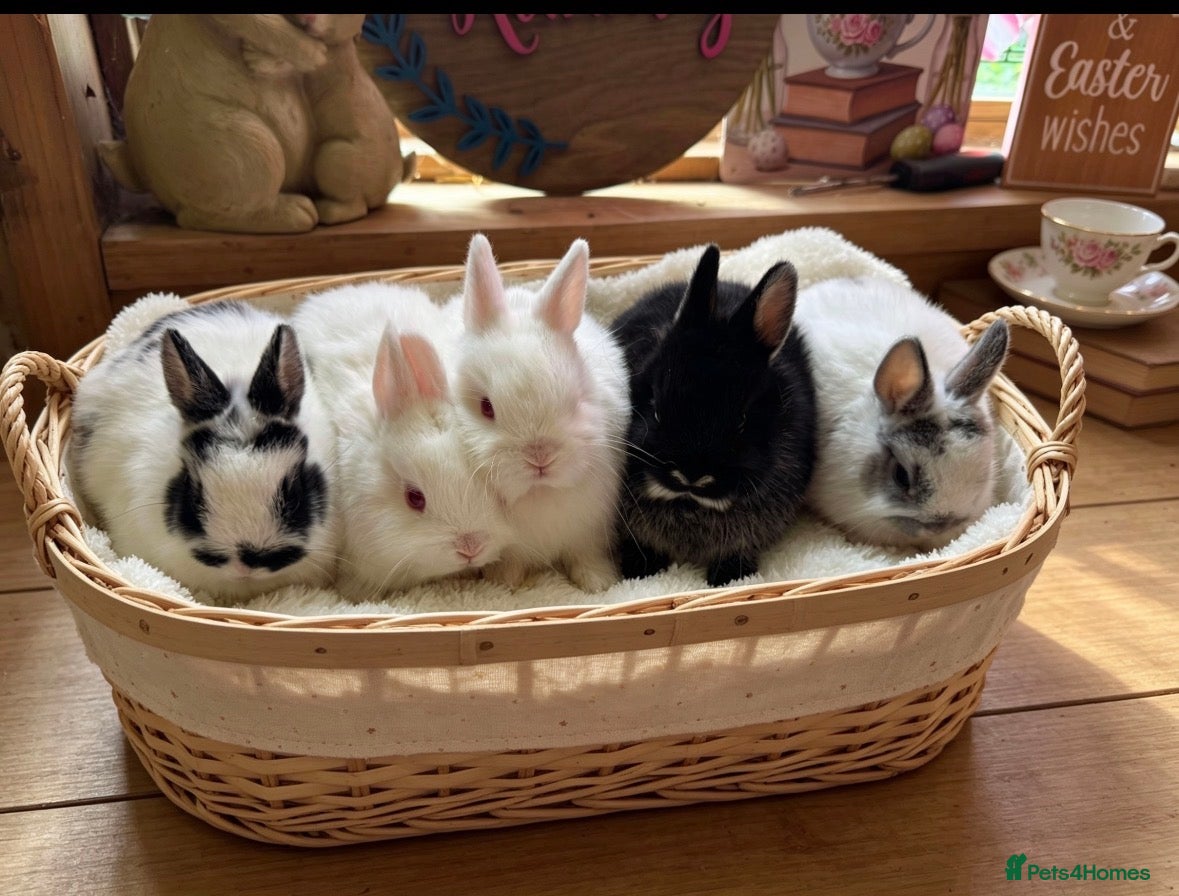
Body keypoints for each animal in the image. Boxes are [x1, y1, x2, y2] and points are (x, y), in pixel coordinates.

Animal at [442, 233, 630, 592]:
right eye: (486, 407)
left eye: (575, 401)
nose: (540, 457)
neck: (540, 494)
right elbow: (512, 562)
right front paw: (506, 582)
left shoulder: (589, 531)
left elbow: (585, 555)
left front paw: (598, 582)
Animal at [610, 243, 818, 588]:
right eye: (655, 407)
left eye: (743, 420)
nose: (691, 475)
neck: (689, 504)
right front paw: (641, 573)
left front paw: (729, 579)